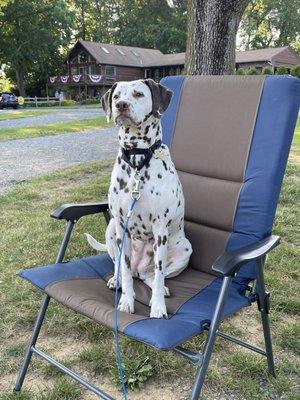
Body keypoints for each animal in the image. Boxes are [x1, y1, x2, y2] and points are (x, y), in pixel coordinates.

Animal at [85, 78, 192, 318]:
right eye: (116, 96)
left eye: (138, 94)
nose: (121, 105)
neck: (137, 159)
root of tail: (139, 269)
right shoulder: (121, 226)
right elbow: (124, 271)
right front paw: (126, 300)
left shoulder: (160, 230)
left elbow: (159, 276)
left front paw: (159, 307)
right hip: (111, 229)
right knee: (123, 269)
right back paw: (116, 280)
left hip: (185, 248)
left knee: (152, 277)